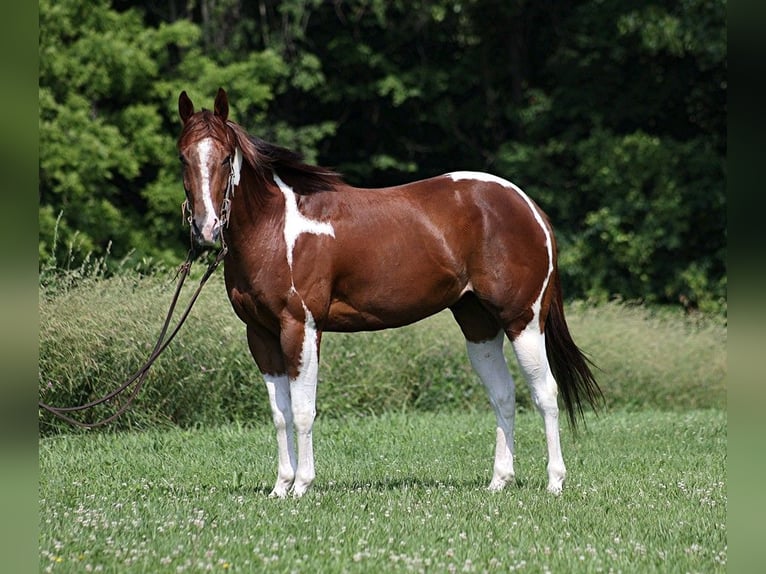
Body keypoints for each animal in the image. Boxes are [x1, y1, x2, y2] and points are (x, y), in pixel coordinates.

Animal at [177, 88, 602, 498]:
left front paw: (301, 485)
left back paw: (554, 481)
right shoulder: (261, 335)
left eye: (225, 157)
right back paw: (499, 480)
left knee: (545, 393)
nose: (206, 229)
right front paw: (281, 487)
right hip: (479, 326)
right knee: (503, 394)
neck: (276, 229)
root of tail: (529, 208)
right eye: (183, 157)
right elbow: (280, 414)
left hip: (523, 321)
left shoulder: (301, 328)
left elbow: (302, 410)